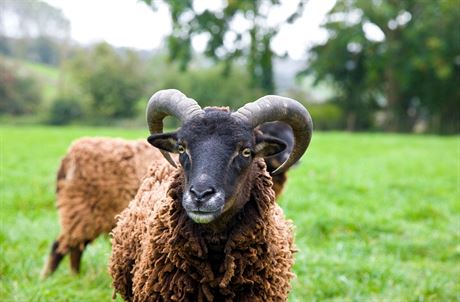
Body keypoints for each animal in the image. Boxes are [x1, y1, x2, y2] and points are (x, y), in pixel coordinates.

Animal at [41, 138, 170, 278]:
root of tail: (71, 154)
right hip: (83, 212)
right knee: (60, 246)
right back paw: (48, 278)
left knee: (75, 248)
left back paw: (75, 277)